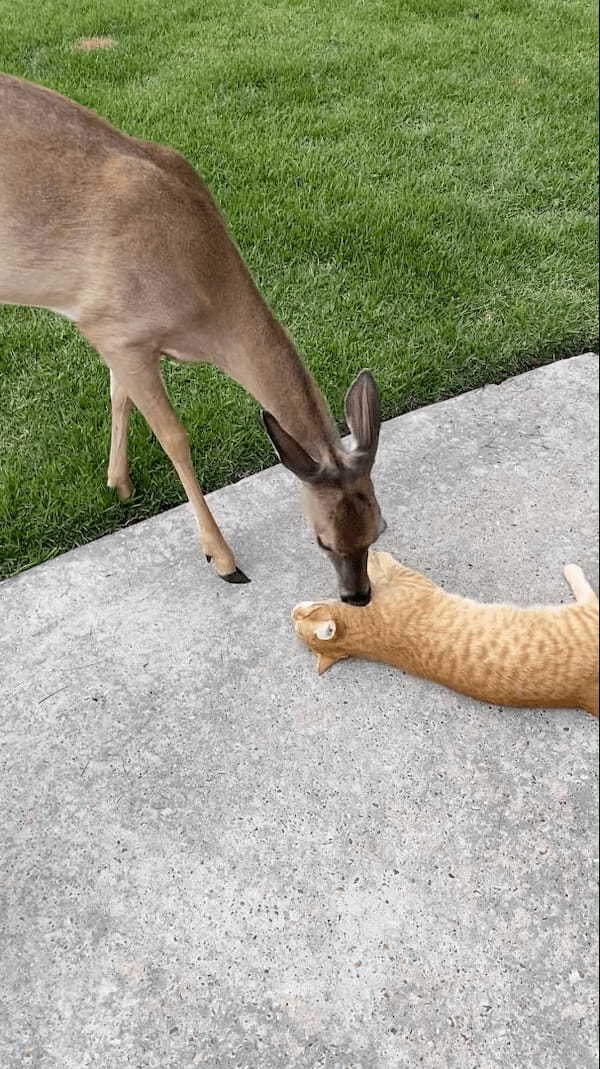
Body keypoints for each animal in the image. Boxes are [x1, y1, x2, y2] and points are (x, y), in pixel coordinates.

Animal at [1, 75, 382, 607]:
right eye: (321, 539)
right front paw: (222, 559)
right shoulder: (113, 327)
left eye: (378, 529)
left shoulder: (118, 339)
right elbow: (174, 437)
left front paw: (118, 484)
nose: (358, 596)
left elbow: (117, 394)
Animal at [290, 551, 594, 718]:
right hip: (588, 613)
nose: (291, 612)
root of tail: (583, 697)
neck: (365, 634)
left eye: (301, 616)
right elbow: (386, 565)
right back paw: (572, 568)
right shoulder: (411, 580)